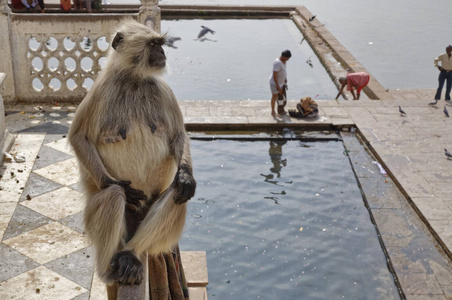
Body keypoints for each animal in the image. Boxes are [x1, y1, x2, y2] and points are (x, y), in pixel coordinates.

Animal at [68, 18, 195, 298]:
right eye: (153, 45)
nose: (163, 53)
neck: (134, 79)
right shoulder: (100, 91)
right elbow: (78, 137)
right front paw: (111, 182)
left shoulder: (162, 90)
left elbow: (178, 136)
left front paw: (186, 176)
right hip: (96, 215)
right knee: (115, 196)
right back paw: (109, 269)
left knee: (178, 194)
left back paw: (131, 255)